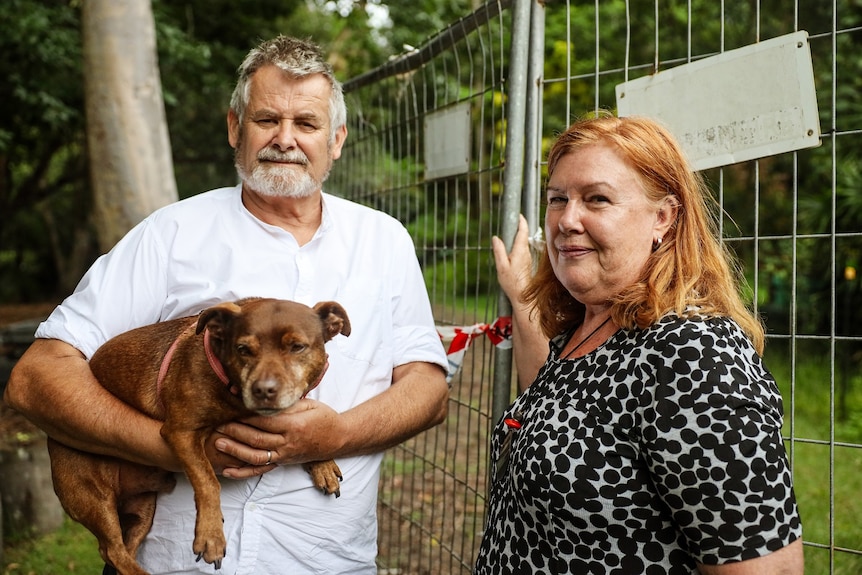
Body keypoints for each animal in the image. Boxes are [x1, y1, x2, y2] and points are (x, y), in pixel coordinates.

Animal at [46, 300, 352, 575]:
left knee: (124, 551)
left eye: (297, 347)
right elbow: (207, 481)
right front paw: (211, 536)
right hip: (93, 497)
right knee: (111, 550)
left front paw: (321, 463)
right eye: (243, 349)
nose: (264, 390)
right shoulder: (182, 432)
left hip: (144, 509)